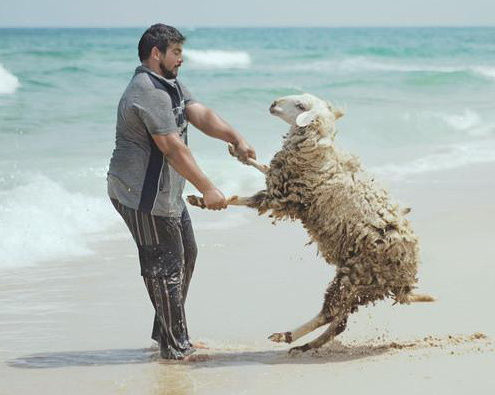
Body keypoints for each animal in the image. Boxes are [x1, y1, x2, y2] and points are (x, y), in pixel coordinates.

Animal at [187, 94, 434, 354]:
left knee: (329, 313)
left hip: (354, 276)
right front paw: (237, 154)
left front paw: (206, 200)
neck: (318, 153)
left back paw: (285, 336)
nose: (273, 103)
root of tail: (406, 282)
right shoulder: (281, 182)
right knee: (339, 323)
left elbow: (242, 199)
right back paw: (307, 345)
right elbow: (260, 169)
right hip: (362, 285)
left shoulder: (284, 196)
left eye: (301, 106)